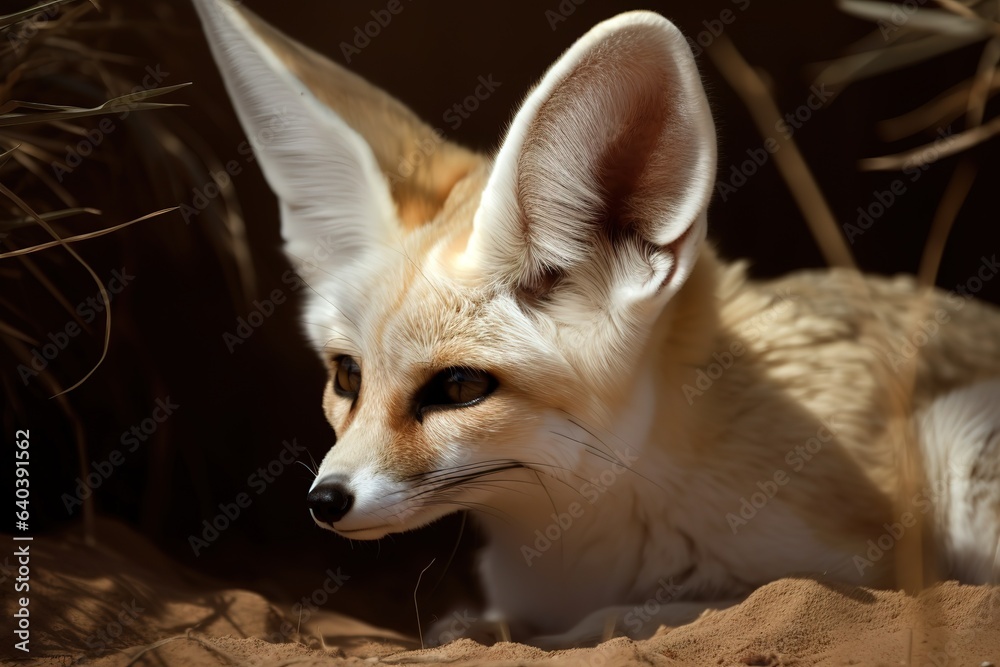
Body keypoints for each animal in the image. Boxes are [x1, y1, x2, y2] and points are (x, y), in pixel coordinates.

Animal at [193, 0, 1000, 648]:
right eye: (346, 376)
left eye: (458, 388)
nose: (325, 500)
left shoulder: (865, 566)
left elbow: (643, 614)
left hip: (961, 444)